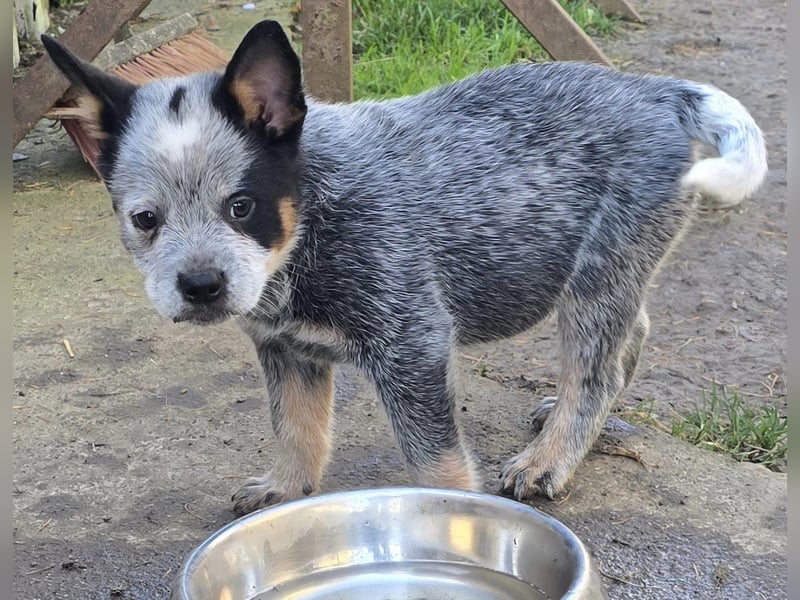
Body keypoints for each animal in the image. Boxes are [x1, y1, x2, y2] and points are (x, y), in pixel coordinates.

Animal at [40, 18, 764, 516]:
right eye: (145, 219)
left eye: (241, 206)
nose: (199, 286)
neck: (312, 221)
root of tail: (656, 89)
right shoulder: (285, 348)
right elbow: (296, 427)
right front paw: (287, 488)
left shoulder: (411, 343)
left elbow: (435, 464)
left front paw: (453, 520)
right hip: (610, 268)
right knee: (630, 336)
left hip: (599, 271)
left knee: (597, 368)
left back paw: (550, 459)